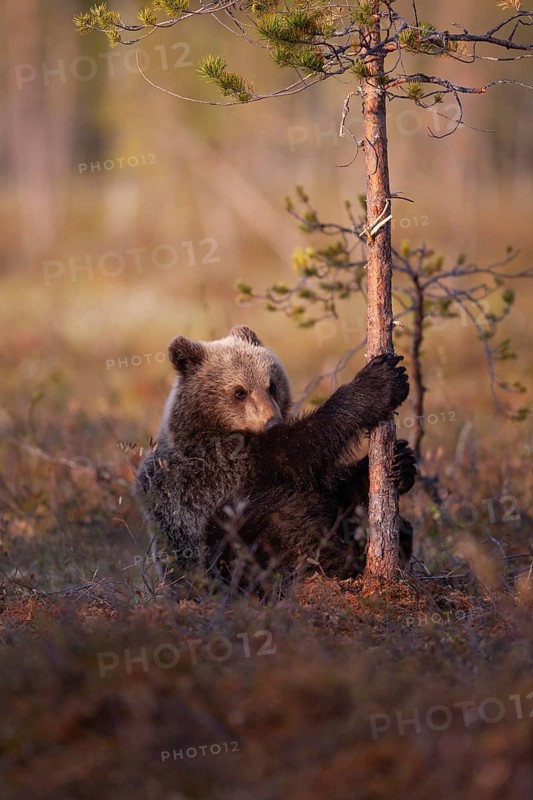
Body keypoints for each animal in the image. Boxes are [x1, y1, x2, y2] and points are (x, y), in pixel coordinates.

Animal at [136, 325, 416, 592]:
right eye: (240, 392)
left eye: (272, 384)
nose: (273, 421)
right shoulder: (216, 468)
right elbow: (299, 452)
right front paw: (379, 382)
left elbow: (335, 490)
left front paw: (399, 463)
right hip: (214, 556)